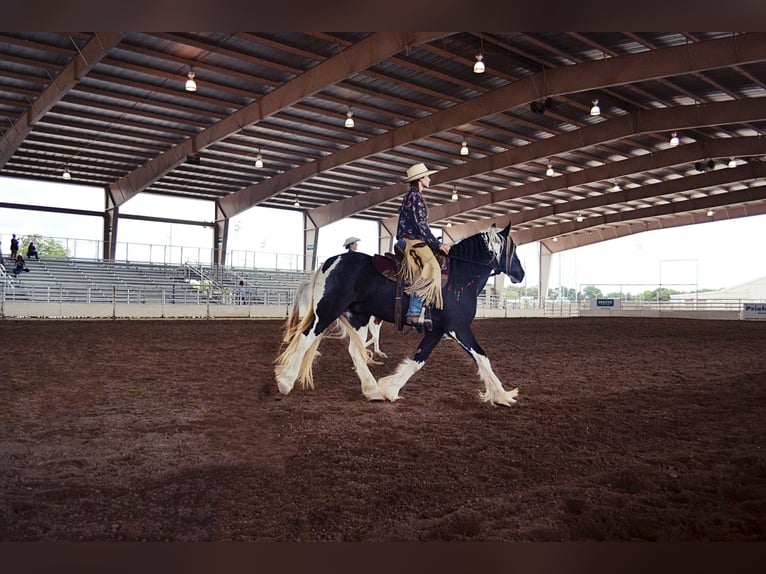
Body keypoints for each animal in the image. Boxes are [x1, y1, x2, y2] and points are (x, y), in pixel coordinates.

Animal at [276, 223, 528, 408]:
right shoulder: (457, 326)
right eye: (513, 249)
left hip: (358, 316)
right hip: (328, 311)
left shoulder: (438, 329)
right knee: (305, 339)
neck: (460, 275)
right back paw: (285, 381)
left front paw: (389, 388)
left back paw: (373, 390)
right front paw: (503, 395)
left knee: (354, 351)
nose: (521, 274)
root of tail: (329, 263)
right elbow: (482, 357)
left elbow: (419, 359)